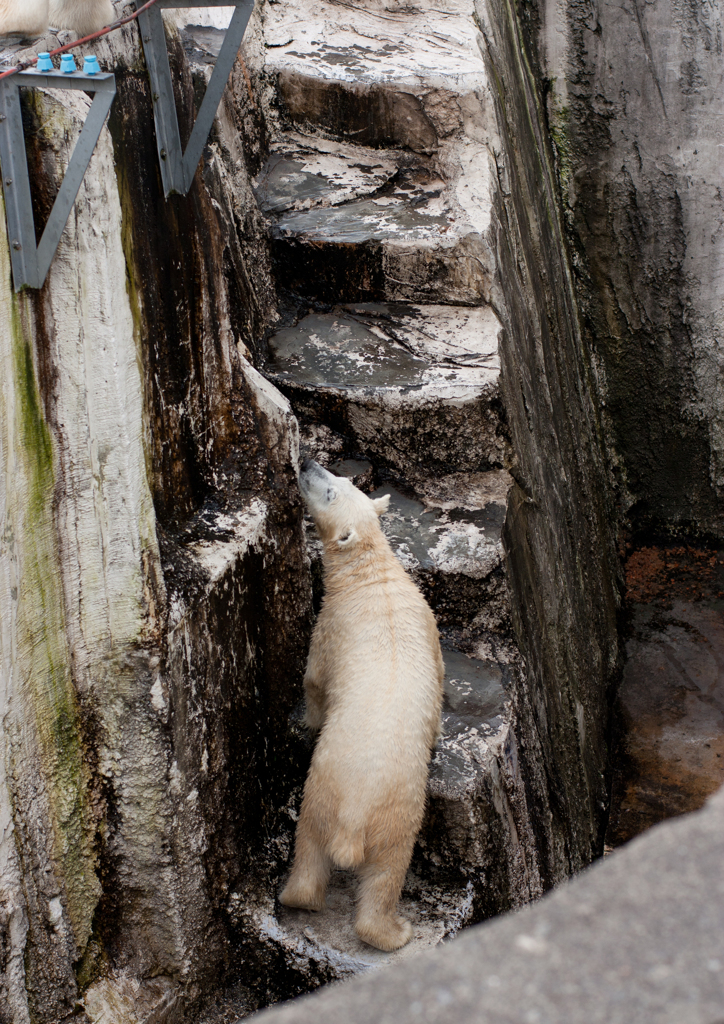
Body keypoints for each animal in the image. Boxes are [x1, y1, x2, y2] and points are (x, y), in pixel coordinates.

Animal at [280, 458, 444, 950]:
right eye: (341, 479)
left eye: (333, 489)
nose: (306, 461)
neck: (372, 574)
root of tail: (354, 814)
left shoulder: (329, 625)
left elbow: (314, 680)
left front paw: (306, 719)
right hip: (337, 801)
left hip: (364, 806)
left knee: (360, 865)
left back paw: (391, 931)